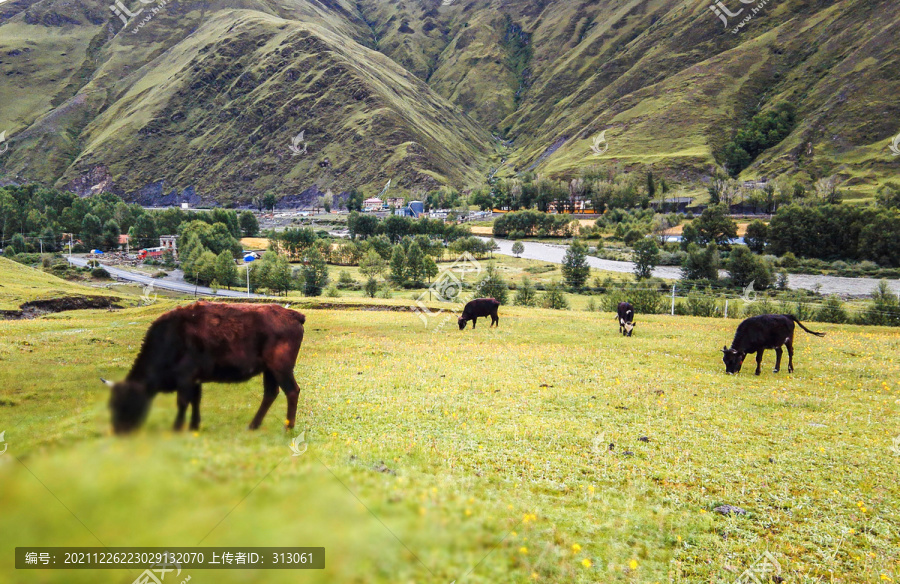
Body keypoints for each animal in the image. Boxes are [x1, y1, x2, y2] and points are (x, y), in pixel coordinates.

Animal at [104, 302, 308, 434]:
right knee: (271, 393)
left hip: (281, 369)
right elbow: (196, 401)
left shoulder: (186, 378)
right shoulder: (195, 380)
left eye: (128, 401)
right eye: (111, 404)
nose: (119, 430)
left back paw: (287, 428)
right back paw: (252, 426)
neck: (171, 338)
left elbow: (183, 402)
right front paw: (193, 426)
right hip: (269, 371)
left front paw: (176, 428)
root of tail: (293, 315)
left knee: (292, 391)